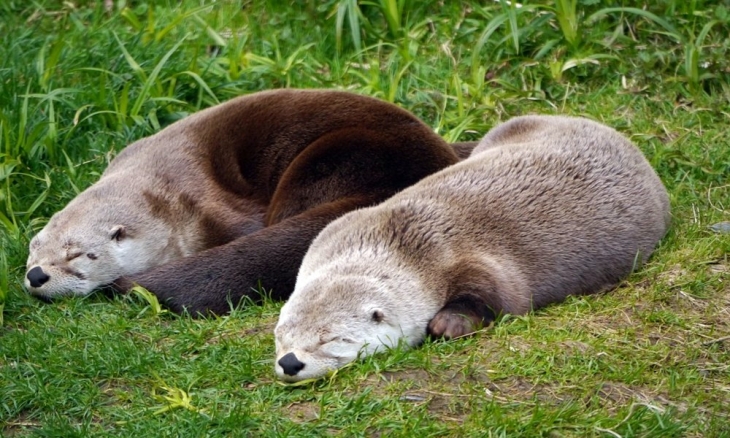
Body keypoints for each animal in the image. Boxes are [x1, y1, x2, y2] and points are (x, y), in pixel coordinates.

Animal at [274, 114, 672, 382]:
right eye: (281, 335)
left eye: (332, 339)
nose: (289, 362)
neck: (396, 241)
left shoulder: (470, 260)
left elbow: (501, 294)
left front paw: (448, 323)